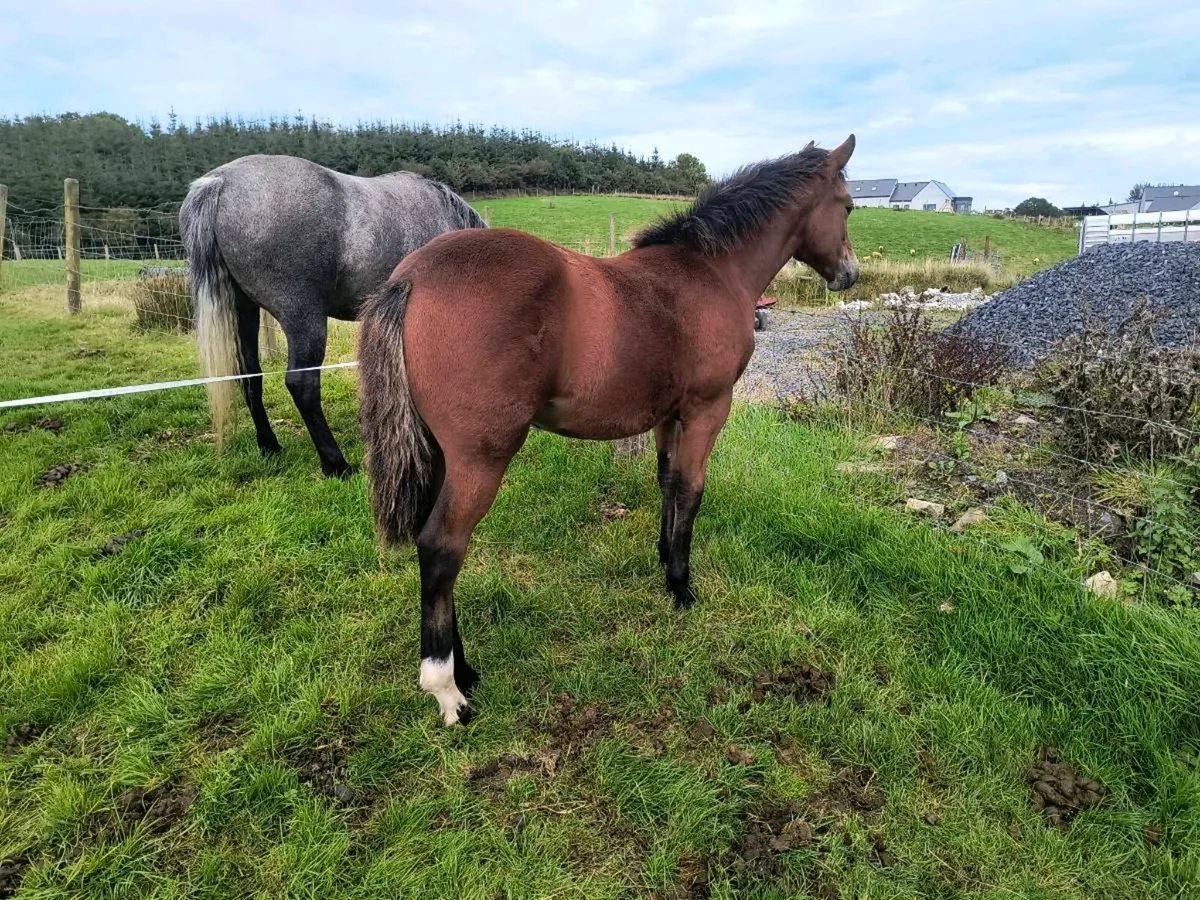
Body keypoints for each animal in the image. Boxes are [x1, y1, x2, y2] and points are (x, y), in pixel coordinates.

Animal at [179, 154, 487, 478]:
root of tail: (220, 182)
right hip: (304, 319)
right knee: (303, 385)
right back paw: (337, 464)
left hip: (244, 312)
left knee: (251, 376)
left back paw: (269, 445)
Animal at [356, 135, 860, 725]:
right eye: (848, 206)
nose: (849, 273)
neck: (711, 272)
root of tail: (410, 277)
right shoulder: (708, 409)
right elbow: (691, 489)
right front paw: (682, 588)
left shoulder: (669, 416)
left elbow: (667, 484)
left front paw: (665, 559)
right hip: (479, 458)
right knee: (442, 547)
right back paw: (447, 690)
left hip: (436, 452)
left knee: (428, 543)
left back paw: (468, 670)